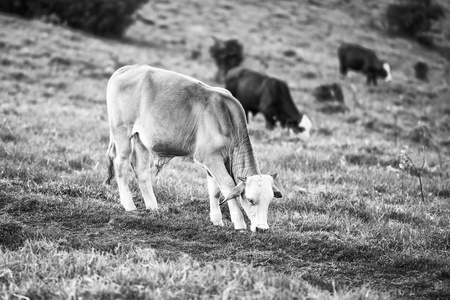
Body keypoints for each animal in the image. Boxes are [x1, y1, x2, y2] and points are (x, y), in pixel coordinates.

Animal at [105, 64, 282, 231]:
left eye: (269, 201)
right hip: (122, 133)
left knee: (141, 170)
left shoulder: (212, 162)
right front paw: (239, 223)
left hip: (141, 140)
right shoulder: (211, 158)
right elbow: (228, 186)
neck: (227, 118)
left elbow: (215, 191)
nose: (262, 228)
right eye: (251, 200)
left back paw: (153, 207)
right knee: (120, 165)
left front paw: (217, 221)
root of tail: (125, 69)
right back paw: (129, 206)